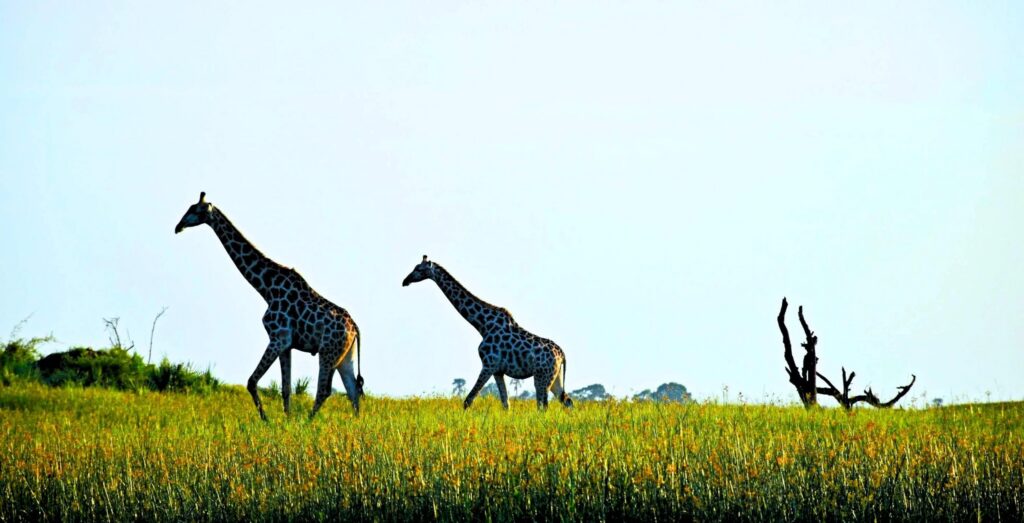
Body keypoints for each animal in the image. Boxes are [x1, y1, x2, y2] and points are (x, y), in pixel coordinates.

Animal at [175, 192, 363, 420]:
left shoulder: (278, 337)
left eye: (195, 209)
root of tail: (355, 329)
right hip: (345, 356)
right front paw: (287, 420)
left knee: (325, 390)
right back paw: (355, 424)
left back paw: (308, 422)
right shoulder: (287, 343)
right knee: (352, 389)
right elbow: (286, 388)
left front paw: (267, 420)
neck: (266, 288)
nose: (178, 226)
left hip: (327, 352)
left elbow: (252, 381)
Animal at [402, 255, 573, 410]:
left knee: (543, 406)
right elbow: (505, 404)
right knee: (567, 401)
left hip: (542, 377)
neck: (482, 325)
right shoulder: (498, 371)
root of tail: (562, 355)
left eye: (418, 269)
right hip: (554, 377)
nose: (405, 281)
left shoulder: (488, 364)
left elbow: (468, 401)